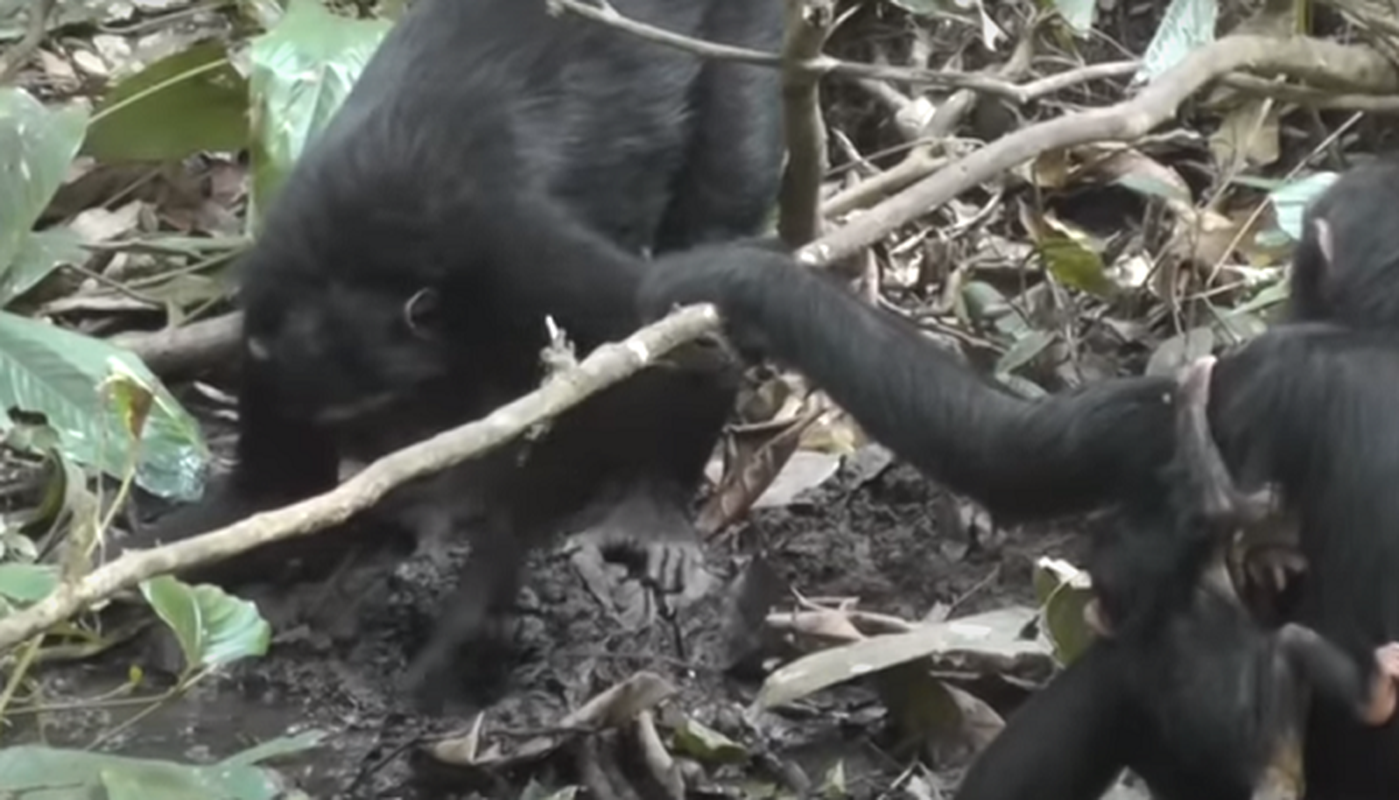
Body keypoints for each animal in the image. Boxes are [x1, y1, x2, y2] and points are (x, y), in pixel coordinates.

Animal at [139, 0, 789, 713]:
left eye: (395, 408)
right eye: (345, 426)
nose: (384, 464)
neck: (354, 263)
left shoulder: (523, 259)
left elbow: (670, 344)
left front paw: (466, 619)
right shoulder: (269, 339)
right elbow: (276, 495)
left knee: (718, 203)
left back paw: (649, 505)